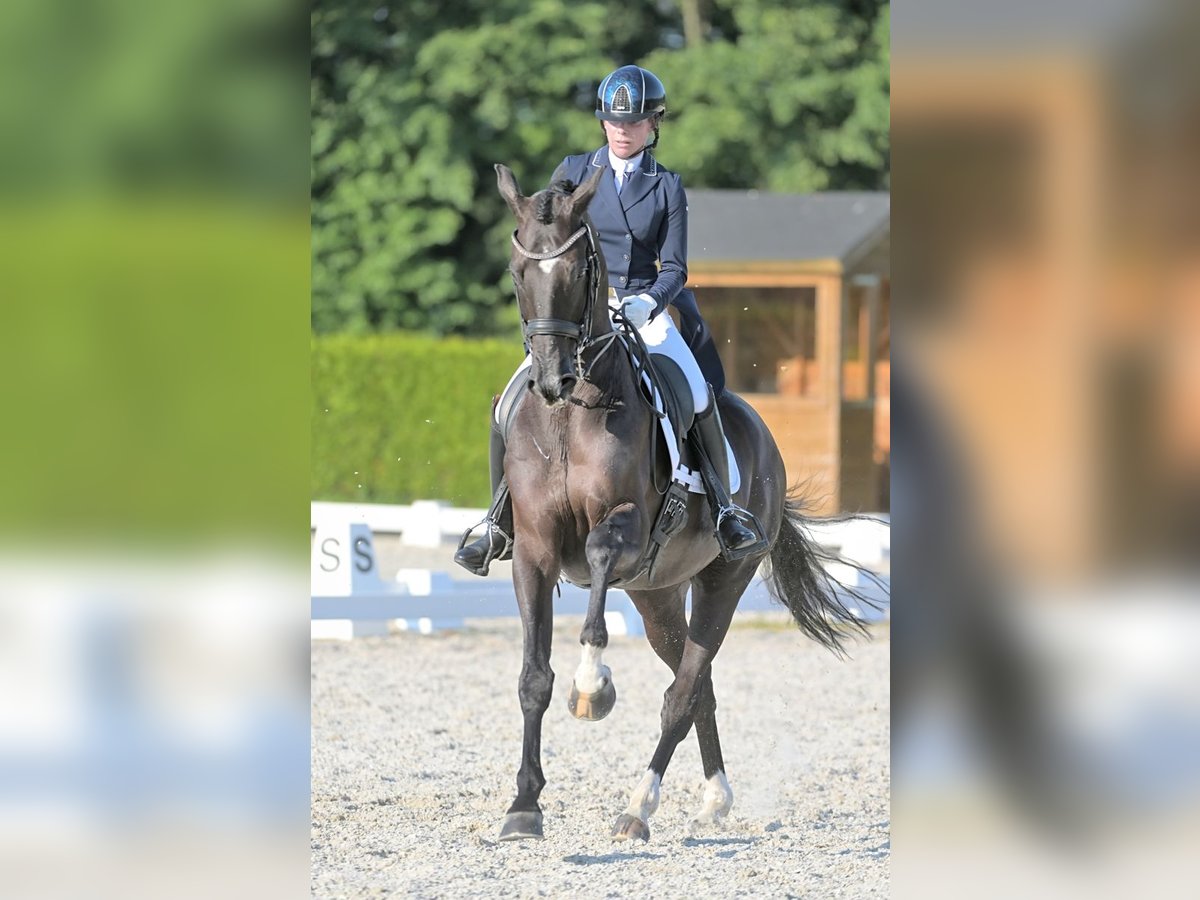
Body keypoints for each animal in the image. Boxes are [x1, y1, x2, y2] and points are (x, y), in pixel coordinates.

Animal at [492, 162, 870, 842]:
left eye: (578, 271)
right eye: (517, 272)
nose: (553, 379)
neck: (572, 416)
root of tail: (765, 437)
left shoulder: (626, 527)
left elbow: (596, 563)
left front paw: (594, 687)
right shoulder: (532, 549)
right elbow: (533, 678)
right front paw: (524, 808)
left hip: (725, 577)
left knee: (685, 689)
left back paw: (638, 807)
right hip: (657, 593)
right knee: (698, 683)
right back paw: (714, 796)